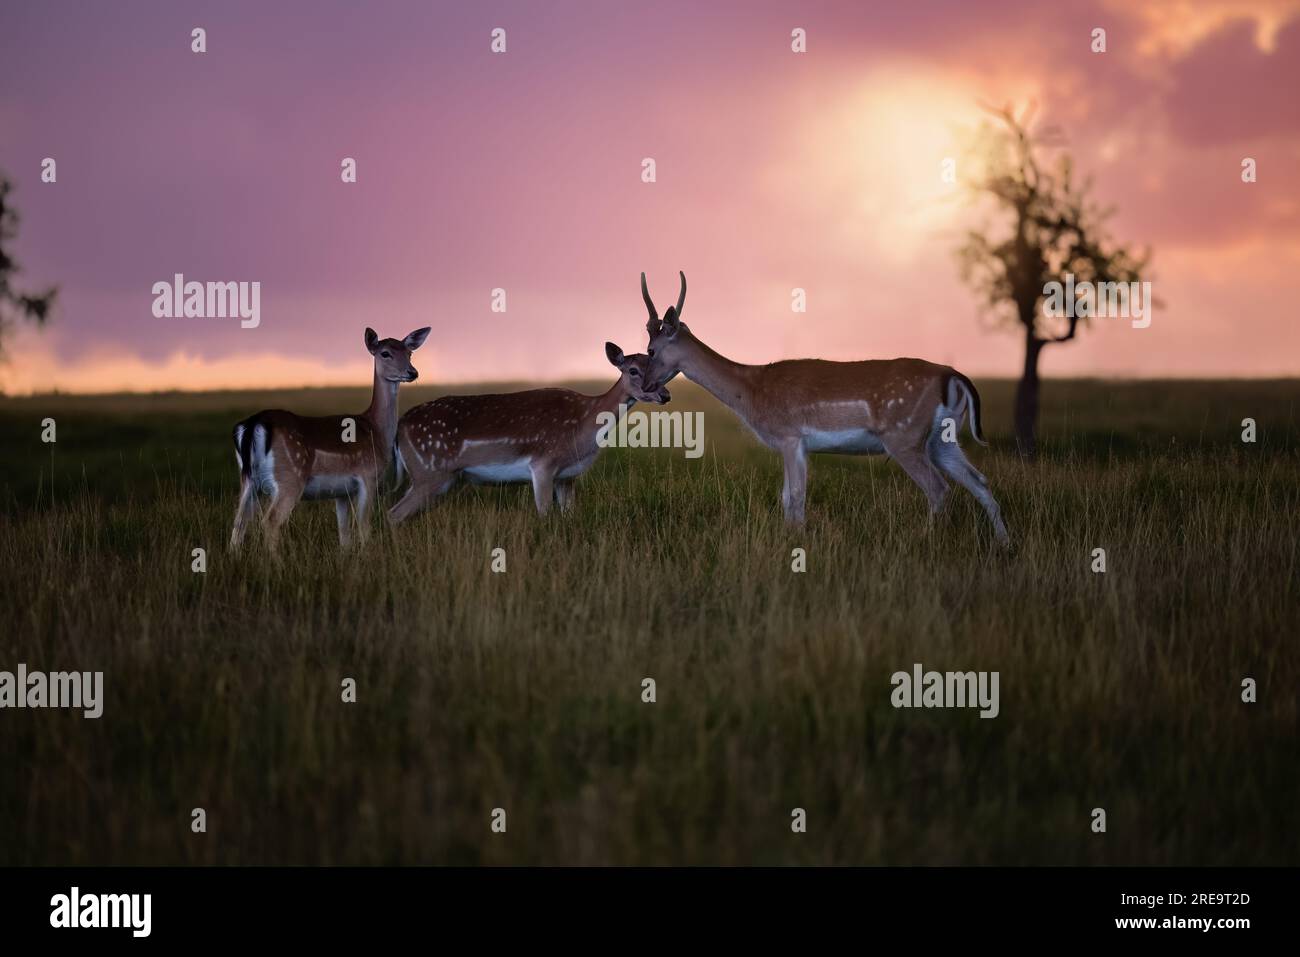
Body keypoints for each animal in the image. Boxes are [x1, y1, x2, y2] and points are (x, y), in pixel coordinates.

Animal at [384, 343, 670, 522]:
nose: (665, 395)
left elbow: (569, 517)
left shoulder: (568, 476)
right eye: (633, 370)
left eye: (661, 369)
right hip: (429, 473)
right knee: (393, 514)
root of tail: (400, 429)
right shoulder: (543, 463)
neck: (585, 426)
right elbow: (544, 516)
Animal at [644, 273, 1008, 546]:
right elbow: (787, 497)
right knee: (979, 480)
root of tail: (953, 376)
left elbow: (794, 497)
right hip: (942, 439)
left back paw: (926, 541)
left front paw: (796, 544)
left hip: (904, 436)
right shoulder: (797, 444)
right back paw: (1005, 543)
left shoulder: (790, 436)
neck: (752, 391)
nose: (648, 385)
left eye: (650, 350)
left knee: (938, 488)